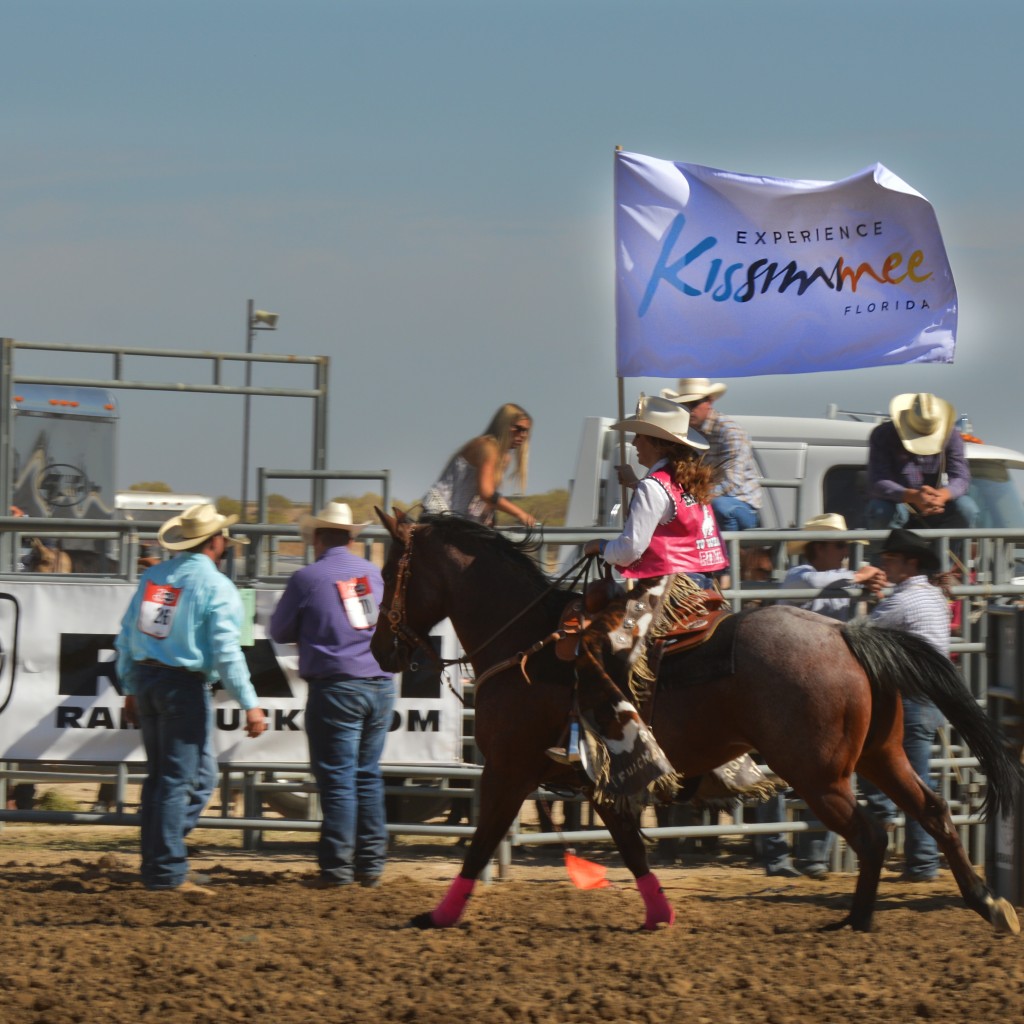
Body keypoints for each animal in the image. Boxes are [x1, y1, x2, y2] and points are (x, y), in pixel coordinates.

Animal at [370, 512, 1024, 937]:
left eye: (390, 572)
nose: (380, 649)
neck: (526, 645)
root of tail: (845, 632)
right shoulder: (605, 781)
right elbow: (631, 847)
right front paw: (659, 915)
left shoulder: (508, 769)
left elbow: (482, 843)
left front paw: (438, 916)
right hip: (880, 756)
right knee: (933, 813)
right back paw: (989, 903)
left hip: (819, 777)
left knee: (871, 835)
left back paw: (857, 921)